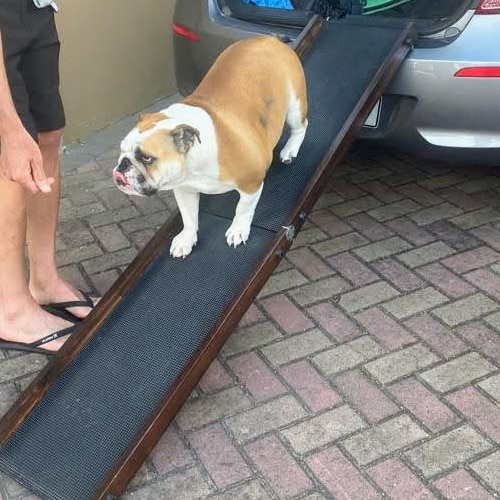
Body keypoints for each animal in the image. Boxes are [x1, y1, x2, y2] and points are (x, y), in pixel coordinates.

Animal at [113, 35, 308, 258]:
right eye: (122, 151)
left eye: (147, 158)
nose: (122, 165)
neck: (194, 164)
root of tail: (268, 38)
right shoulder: (184, 190)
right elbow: (188, 217)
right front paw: (186, 239)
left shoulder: (251, 182)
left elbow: (243, 209)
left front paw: (238, 229)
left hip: (295, 105)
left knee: (301, 126)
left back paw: (290, 150)